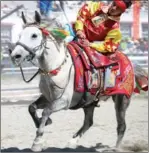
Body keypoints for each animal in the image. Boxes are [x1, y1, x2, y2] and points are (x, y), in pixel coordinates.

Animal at [9, 11, 148, 152]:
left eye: (34, 35)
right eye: (20, 35)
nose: (15, 56)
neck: (57, 67)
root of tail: (130, 62)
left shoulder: (64, 101)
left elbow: (46, 111)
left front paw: (37, 141)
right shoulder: (47, 98)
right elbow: (31, 108)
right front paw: (43, 123)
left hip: (121, 99)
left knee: (121, 125)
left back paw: (115, 148)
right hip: (89, 102)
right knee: (89, 122)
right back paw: (72, 142)